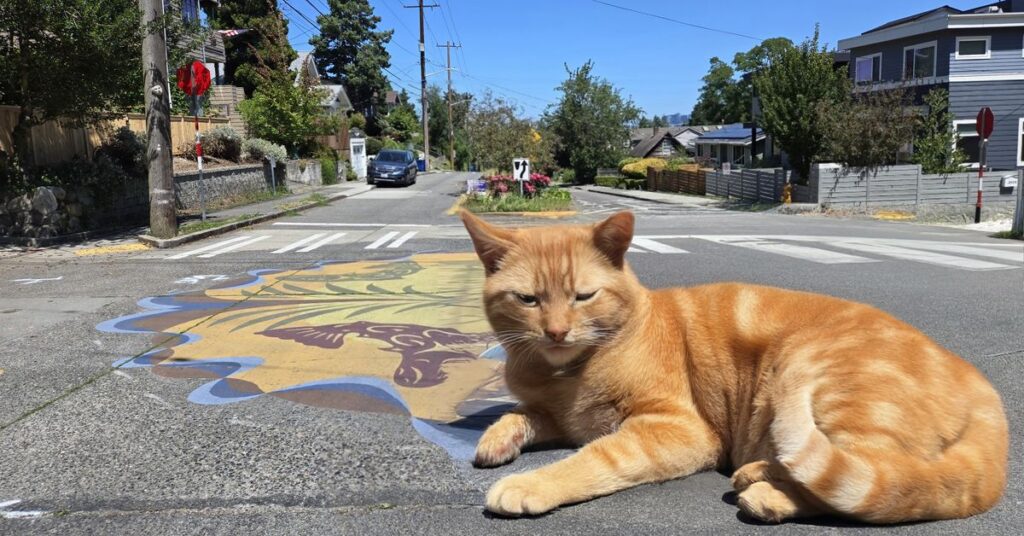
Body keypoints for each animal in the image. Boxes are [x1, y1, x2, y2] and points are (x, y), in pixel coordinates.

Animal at [464, 211, 1007, 524]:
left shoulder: (677, 430)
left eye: (583, 296)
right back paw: (758, 473)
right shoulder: (558, 415)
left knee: (883, 480)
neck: (565, 375)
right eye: (528, 300)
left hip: (826, 385)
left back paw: (766, 493)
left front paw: (530, 484)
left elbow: (595, 458)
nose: (556, 332)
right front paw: (497, 438)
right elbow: (518, 412)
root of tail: (980, 384)